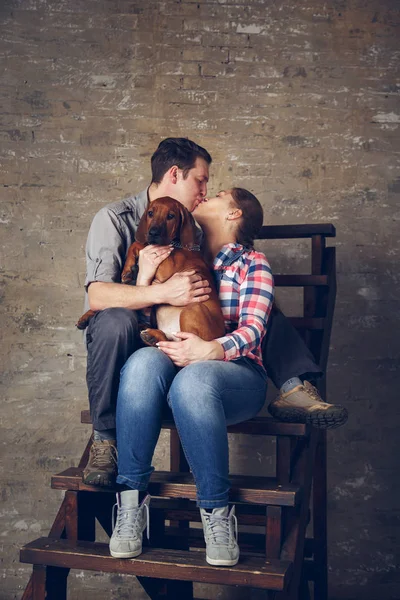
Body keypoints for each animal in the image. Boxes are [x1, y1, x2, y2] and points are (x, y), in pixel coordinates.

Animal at [75, 198, 225, 346]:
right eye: (150, 213)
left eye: (171, 216)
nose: (153, 233)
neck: (175, 244)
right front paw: (128, 270)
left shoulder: (166, 268)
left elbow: (139, 243)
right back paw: (151, 335)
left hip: (192, 310)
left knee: (183, 346)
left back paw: (153, 335)